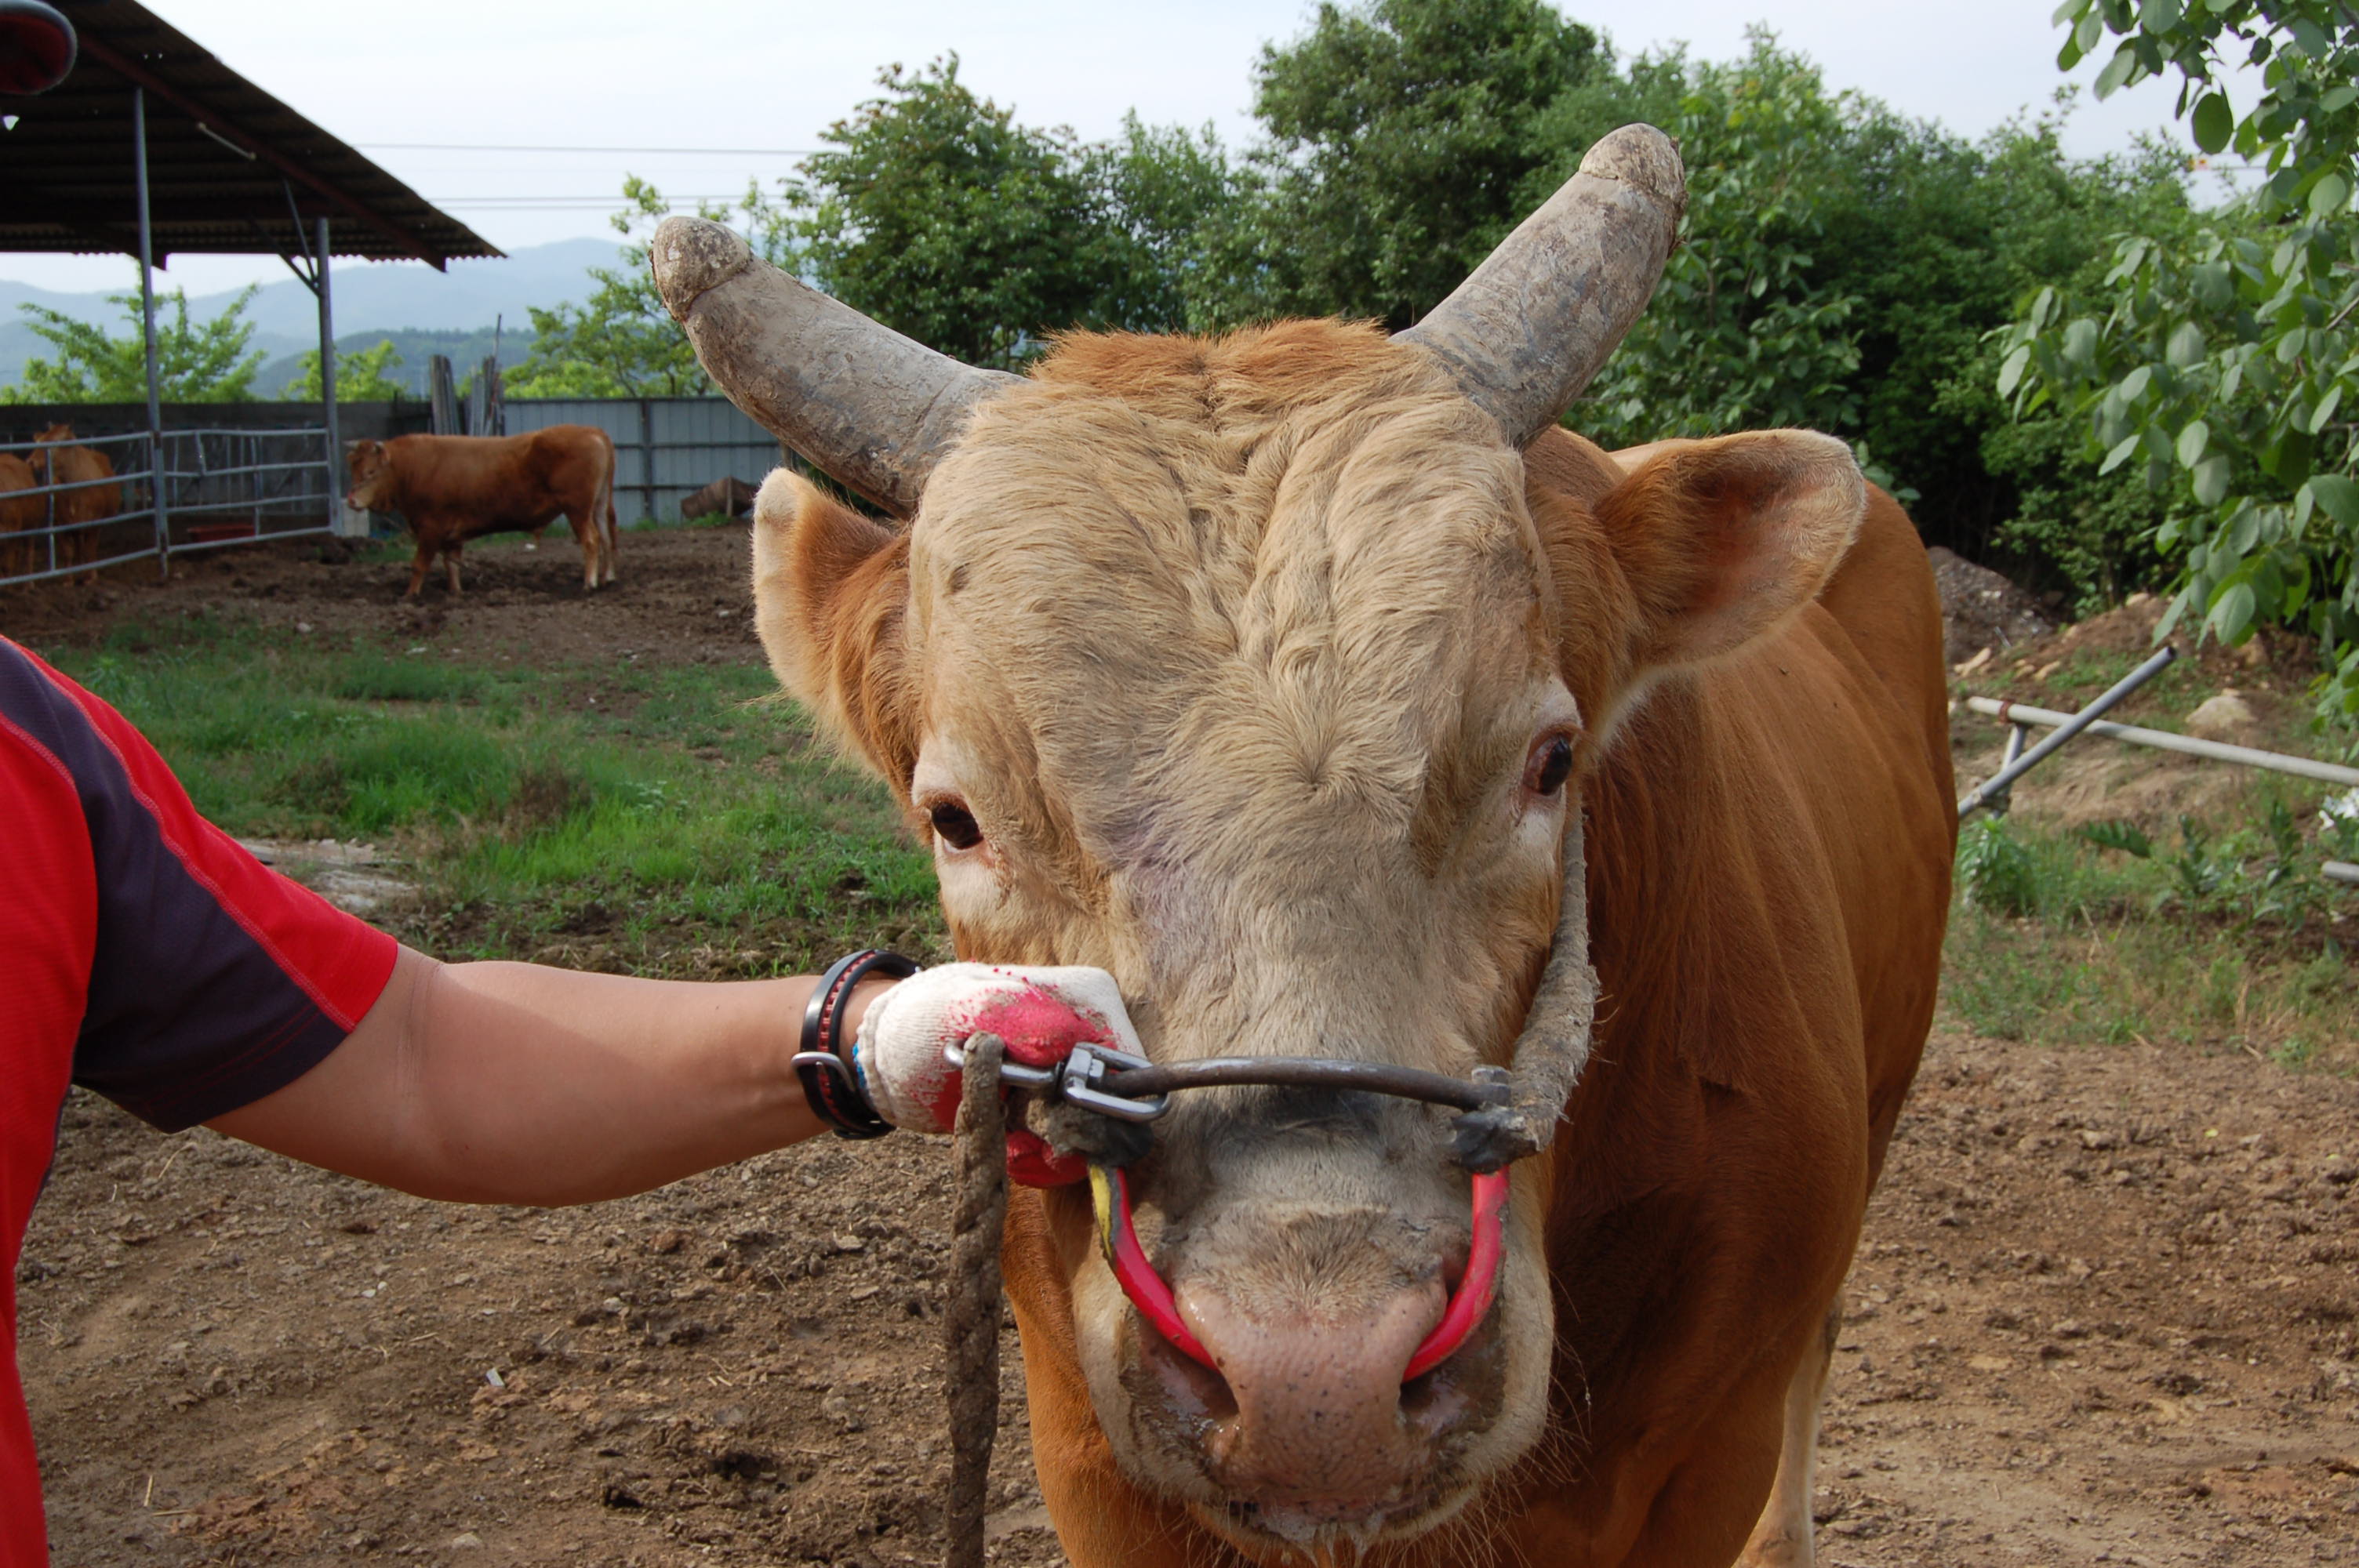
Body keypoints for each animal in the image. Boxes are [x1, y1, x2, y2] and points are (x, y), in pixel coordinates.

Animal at [29, 422, 117, 579]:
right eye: (39, 440)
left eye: (54, 442)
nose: (31, 462)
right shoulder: (60, 522)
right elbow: (68, 552)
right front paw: (68, 579)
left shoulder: (95, 522)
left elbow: (90, 550)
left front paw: (91, 577)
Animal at [344, 424, 618, 596]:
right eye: (353, 469)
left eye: (370, 471)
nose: (351, 501)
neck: (416, 468)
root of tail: (591, 431)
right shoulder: (452, 532)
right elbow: (451, 563)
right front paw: (456, 591)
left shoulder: (431, 528)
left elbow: (419, 564)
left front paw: (410, 595)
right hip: (597, 506)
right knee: (606, 539)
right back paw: (607, 577)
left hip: (578, 510)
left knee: (591, 541)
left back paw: (590, 582)